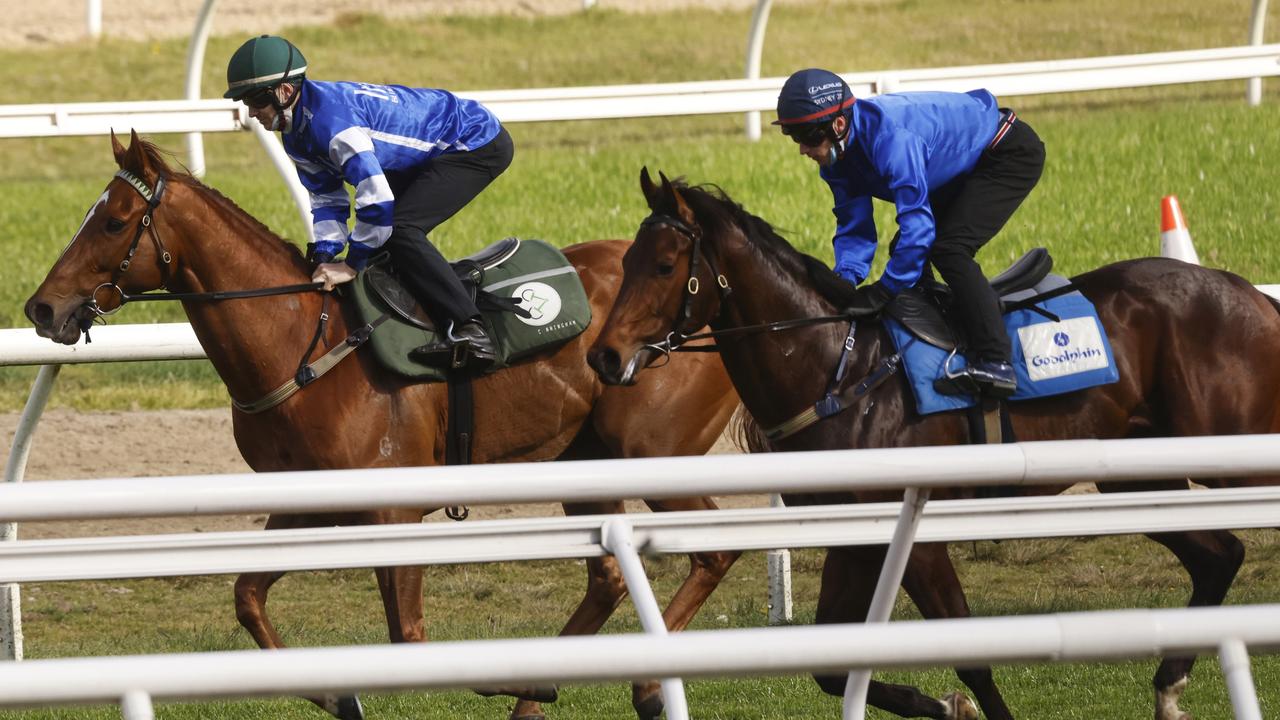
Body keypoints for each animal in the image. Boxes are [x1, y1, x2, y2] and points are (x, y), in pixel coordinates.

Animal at [20, 133, 742, 717]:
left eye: (114, 221)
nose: (41, 308)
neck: (302, 342)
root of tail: (715, 297)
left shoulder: (395, 510)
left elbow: (408, 636)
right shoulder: (304, 503)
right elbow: (248, 598)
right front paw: (337, 695)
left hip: (648, 448)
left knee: (715, 550)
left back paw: (637, 683)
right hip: (585, 460)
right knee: (612, 576)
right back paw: (542, 692)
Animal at [586, 166, 1280, 717]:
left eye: (665, 266)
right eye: (624, 263)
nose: (602, 356)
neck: (837, 368)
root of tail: (1249, 293)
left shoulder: (918, 535)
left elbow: (969, 657)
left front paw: (963, 704)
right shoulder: (854, 535)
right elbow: (830, 667)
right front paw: (944, 706)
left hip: (1232, 448)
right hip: (1138, 473)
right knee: (1219, 556)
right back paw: (1169, 687)